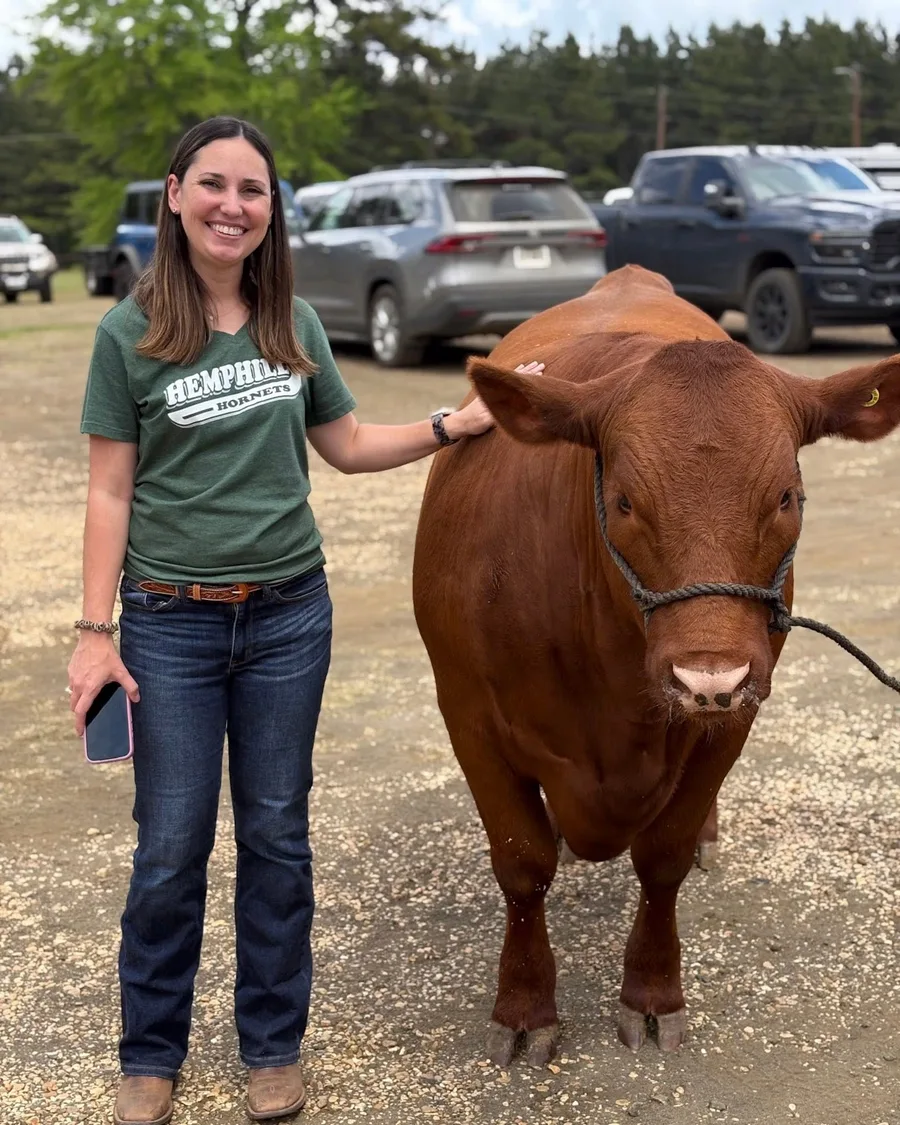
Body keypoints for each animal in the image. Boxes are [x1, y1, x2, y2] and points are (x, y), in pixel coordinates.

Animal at [411, 265, 900, 1068]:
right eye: (623, 501)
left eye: (787, 497)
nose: (709, 679)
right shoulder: (467, 714)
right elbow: (522, 862)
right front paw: (523, 1006)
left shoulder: (733, 720)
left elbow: (662, 857)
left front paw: (651, 994)